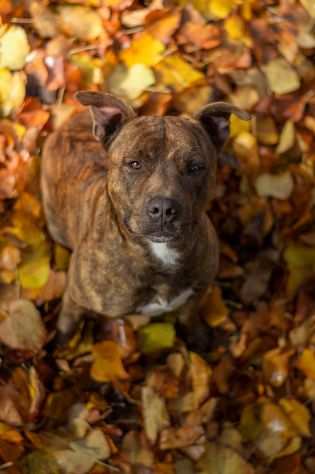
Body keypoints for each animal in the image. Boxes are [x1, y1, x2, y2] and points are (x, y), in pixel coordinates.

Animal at [40, 90, 251, 340]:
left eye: (195, 167)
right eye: (134, 164)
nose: (164, 208)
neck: (159, 253)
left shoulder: (199, 289)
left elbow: (188, 315)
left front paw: (196, 337)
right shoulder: (75, 299)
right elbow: (67, 325)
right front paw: (60, 344)